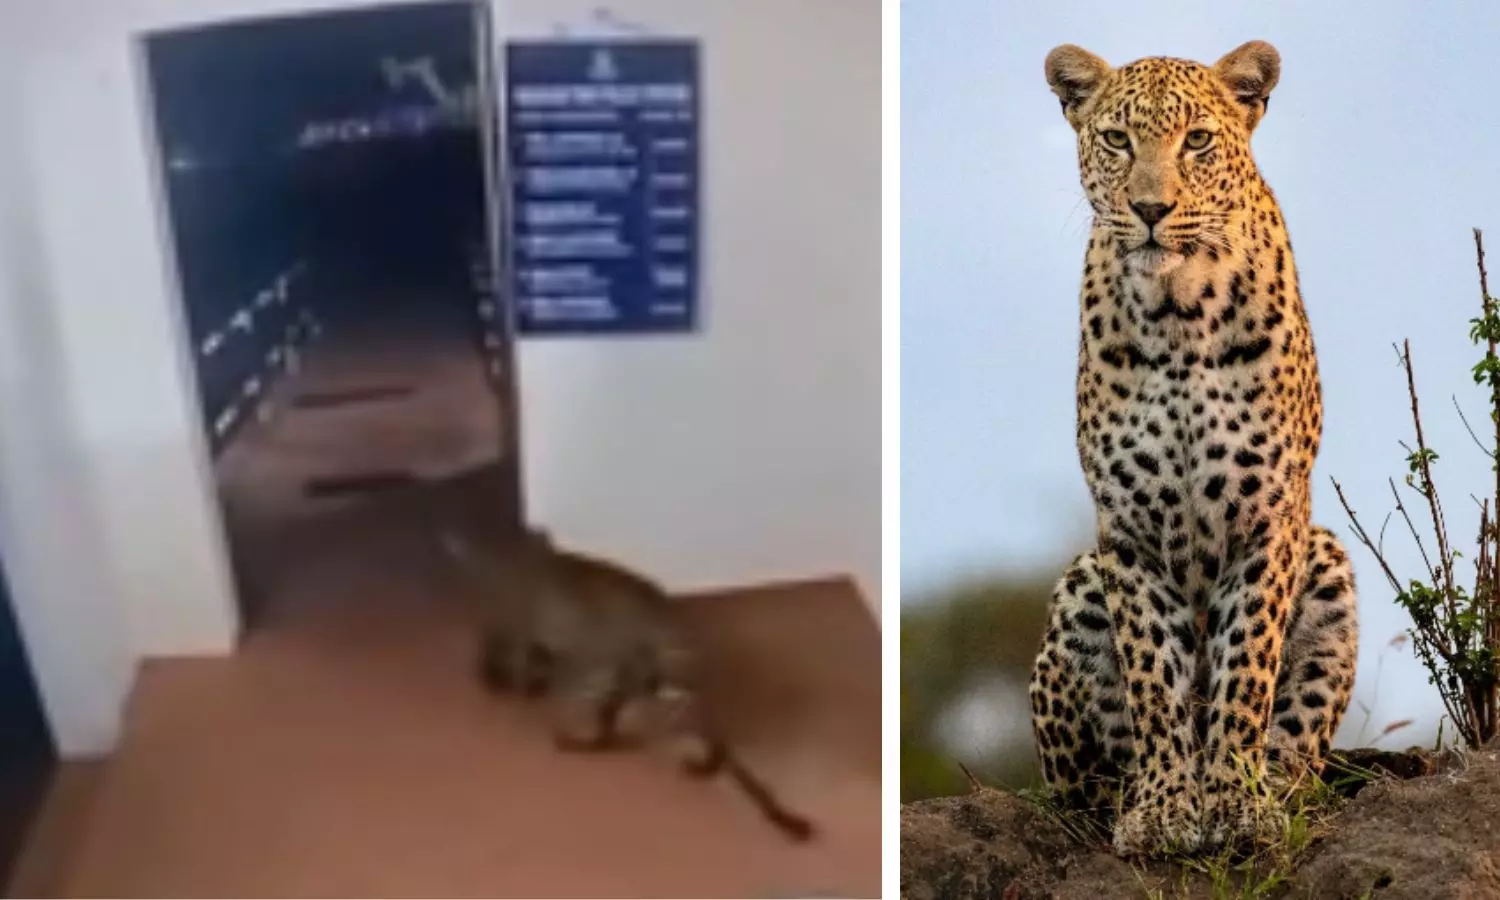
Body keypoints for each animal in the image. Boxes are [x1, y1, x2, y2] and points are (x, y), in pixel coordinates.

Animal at [1027, 40, 1359, 858]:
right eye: (1118, 140)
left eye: (1198, 141)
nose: (1151, 210)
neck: (1177, 313)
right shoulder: (1128, 529)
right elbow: (1153, 675)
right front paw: (1164, 810)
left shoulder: (1269, 515)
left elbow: (1246, 668)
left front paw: (1236, 804)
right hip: (1080, 584)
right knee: (1082, 786)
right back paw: (1126, 798)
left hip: (1328, 560)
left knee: (1299, 755)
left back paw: (1275, 788)